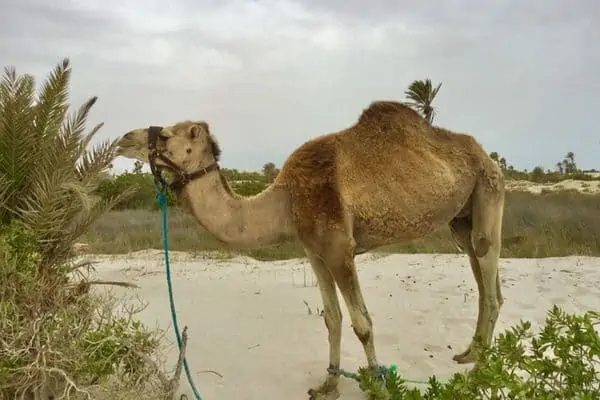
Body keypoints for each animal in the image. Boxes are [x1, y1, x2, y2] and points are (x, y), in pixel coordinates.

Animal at [116, 100, 506, 396]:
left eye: (166, 134)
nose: (122, 139)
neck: (286, 200)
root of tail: (486, 156)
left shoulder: (339, 249)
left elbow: (362, 323)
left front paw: (378, 387)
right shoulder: (315, 253)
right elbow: (332, 318)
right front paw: (328, 385)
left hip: (489, 188)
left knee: (488, 275)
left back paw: (482, 367)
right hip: (461, 218)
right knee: (482, 275)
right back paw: (470, 353)